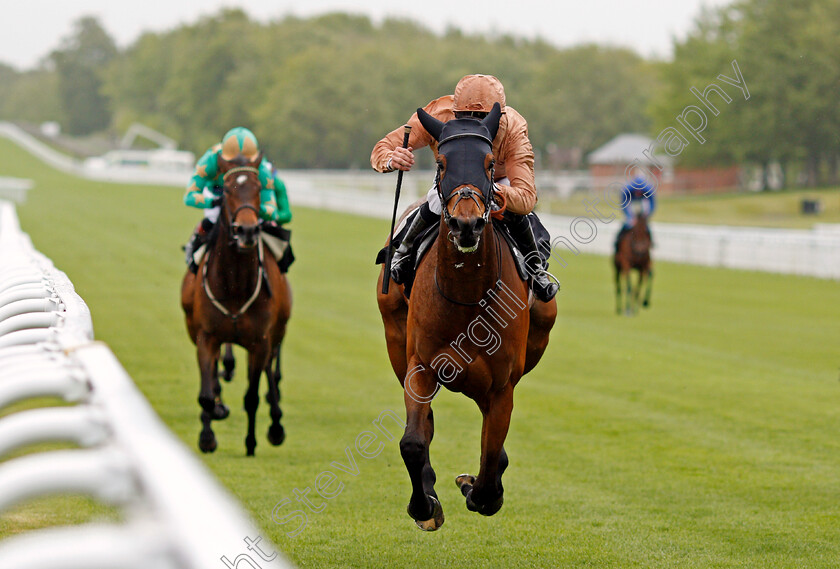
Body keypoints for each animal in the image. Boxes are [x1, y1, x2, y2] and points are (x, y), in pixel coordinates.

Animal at [180, 153, 292, 454]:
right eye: (227, 189)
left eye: (258, 188)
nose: (247, 230)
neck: (235, 284)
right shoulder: (206, 336)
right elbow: (206, 394)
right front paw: (207, 437)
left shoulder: (260, 341)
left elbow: (252, 396)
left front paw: (251, 443)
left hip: (276, 333)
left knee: (270, 373)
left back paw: (276, 425)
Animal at [378, 103, 556, 532]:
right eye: (441, 162)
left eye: (490, 163)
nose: (466, 224)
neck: (466, 295)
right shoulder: (421, 365)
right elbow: (413, 440)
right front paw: (424, 505)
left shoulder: (502, 384)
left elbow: (492, 455)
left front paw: (479, 492)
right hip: (395, 339)